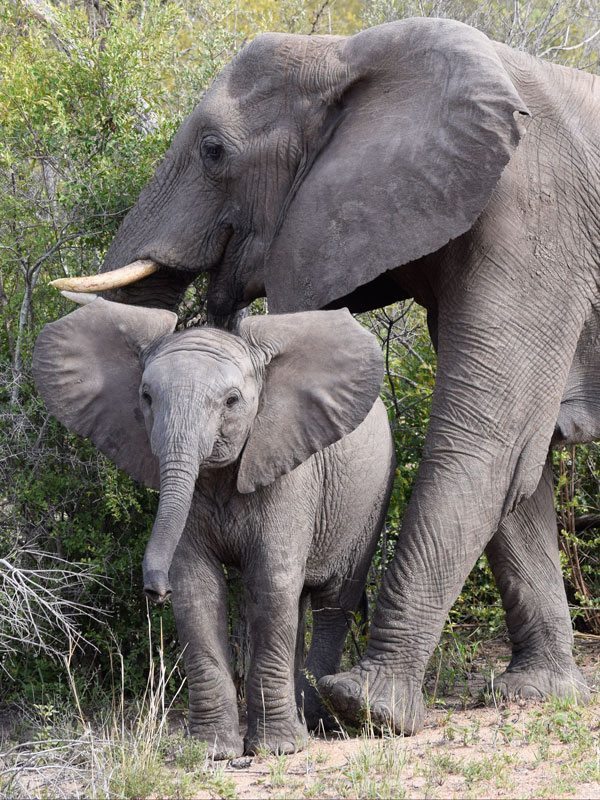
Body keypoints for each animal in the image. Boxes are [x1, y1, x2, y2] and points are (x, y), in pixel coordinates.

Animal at [35, 298, 396, 756]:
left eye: (231, 401)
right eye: (146, 397)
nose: (154, 591)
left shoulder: (288, 470)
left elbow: (271, 580)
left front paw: (276, 750)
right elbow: (196, 587)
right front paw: (212, 751)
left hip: (371, 497)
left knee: (334, 601)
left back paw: (315, 723)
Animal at [55, 17, 596, 732]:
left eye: (213, 151)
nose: (151, 591)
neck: (351, 51)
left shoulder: (539, 219)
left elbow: (488, 439)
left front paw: (366, 706)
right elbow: (521, 467)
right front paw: (537, 695)